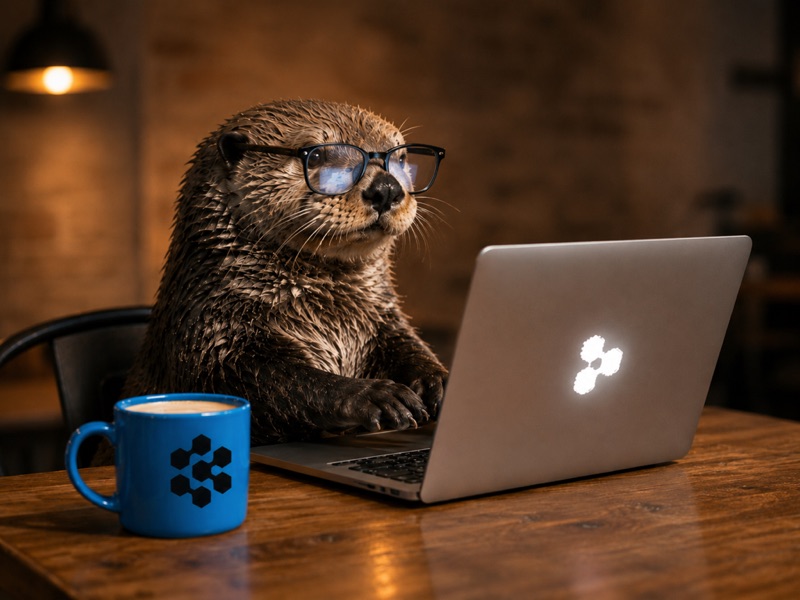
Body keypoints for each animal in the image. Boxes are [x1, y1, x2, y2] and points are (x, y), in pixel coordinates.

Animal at [123, 99, 449, 446]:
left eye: (400, 158)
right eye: (316, 155)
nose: (386, 188)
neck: (334, 320)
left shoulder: (385, 322)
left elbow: (409, 346)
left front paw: (440, 380)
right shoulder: (210, 339)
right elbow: (279, 385)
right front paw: (373, 395)